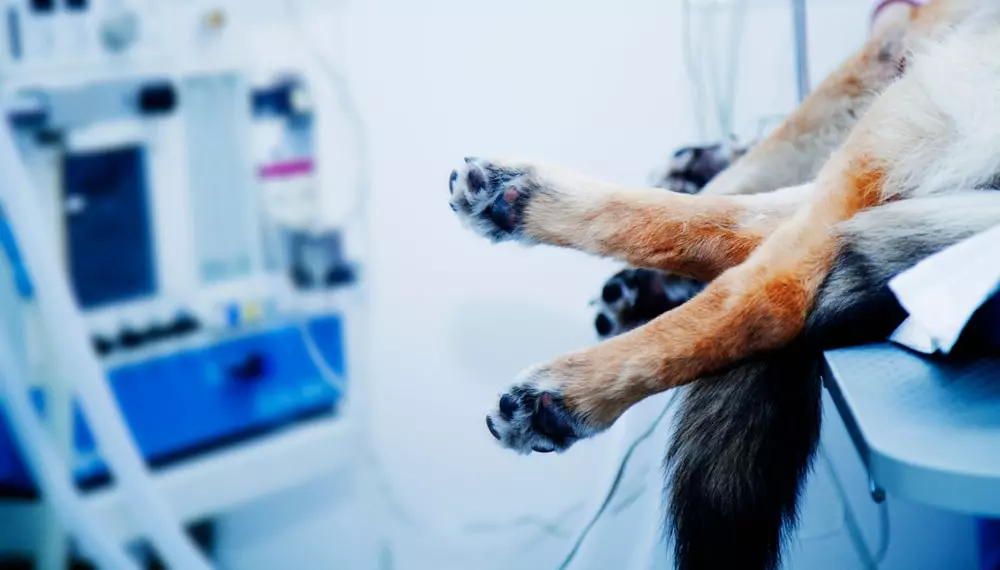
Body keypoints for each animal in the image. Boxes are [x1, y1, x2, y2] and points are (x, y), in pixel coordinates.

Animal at [450, 2, 1000, 564]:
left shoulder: (890, 48)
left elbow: (755, 163)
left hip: (926, 87)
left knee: (774, 289)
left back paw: (569, 392)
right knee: (755, 225)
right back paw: (524, 196)